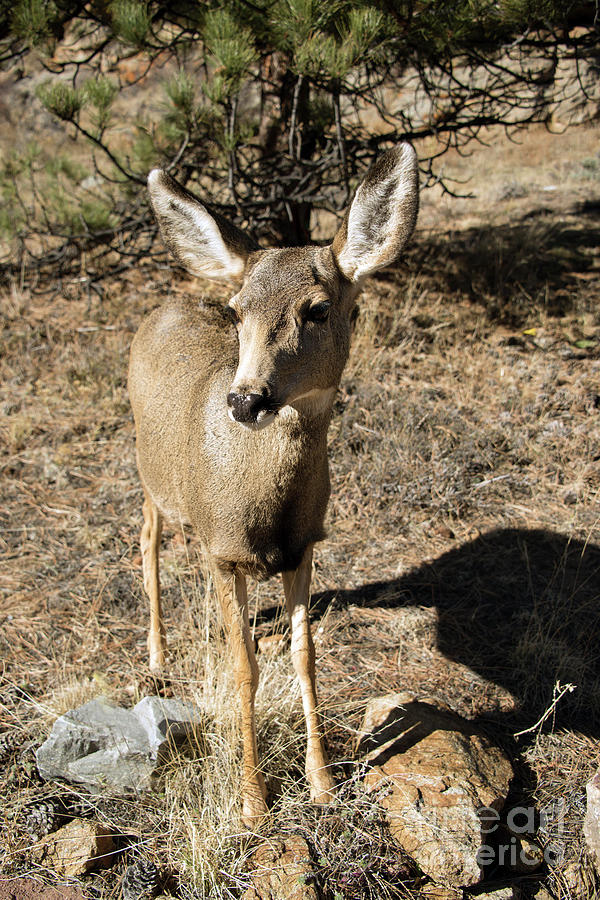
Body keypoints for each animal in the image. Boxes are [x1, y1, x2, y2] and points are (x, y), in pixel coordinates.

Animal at [127, 144, 418, 828]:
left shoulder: (306, 545)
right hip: (149, 472)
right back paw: (157, 661)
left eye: (318, 309)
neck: (264, 509)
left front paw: (321, 785)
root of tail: (169, 304)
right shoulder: (223, 552)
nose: (246, 399)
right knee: (147, 541)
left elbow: (304, 658)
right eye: (238, 312)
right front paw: (254, 802)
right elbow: (244, 667)